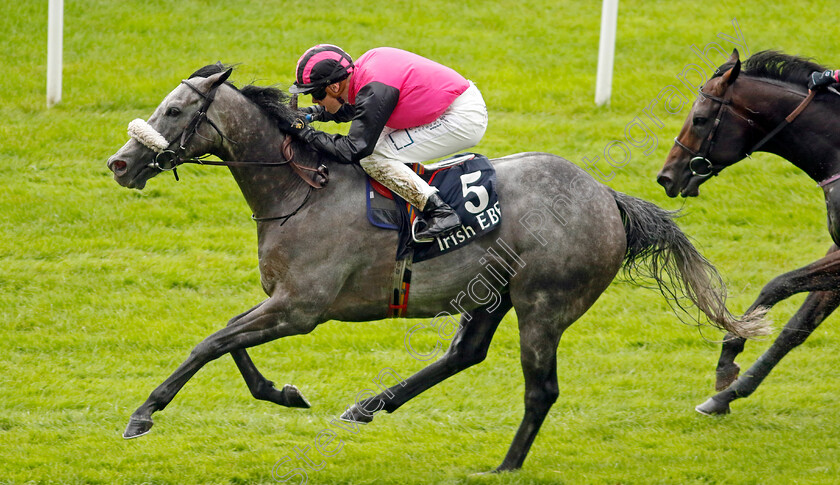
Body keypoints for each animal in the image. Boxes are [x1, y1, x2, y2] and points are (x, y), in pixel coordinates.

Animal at [106, 64, 768, 472]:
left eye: (173, 111)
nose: (120, 163)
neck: (302, 190)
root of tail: (607, 196)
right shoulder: (283, 299)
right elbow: (226, 338)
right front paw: (283, 393)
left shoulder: (302, 308)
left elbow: (210, 342)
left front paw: (143, 414)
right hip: (492, 294)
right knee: (464, 354)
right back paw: (369, 406)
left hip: (543, 305)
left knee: (541, 388)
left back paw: (504, 465)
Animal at [656, 48, 840, 412]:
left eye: (699, 119)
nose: (666, 176)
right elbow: (797, 327)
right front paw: (726, 392)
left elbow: (777, 284)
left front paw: (730, 356)